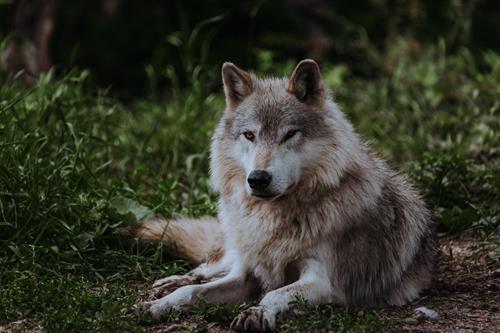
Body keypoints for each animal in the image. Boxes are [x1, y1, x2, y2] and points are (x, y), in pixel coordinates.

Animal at [130, 59, 438, 330]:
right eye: (249, 135)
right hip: (234, 250)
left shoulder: (322, 281)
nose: (257, 179)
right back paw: (170, 281)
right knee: (206, 267)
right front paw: (156, 306)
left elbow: (275, 293)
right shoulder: (246, 273)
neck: (275, 218)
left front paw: (257, 313)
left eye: (289, 134)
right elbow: (192, 292)